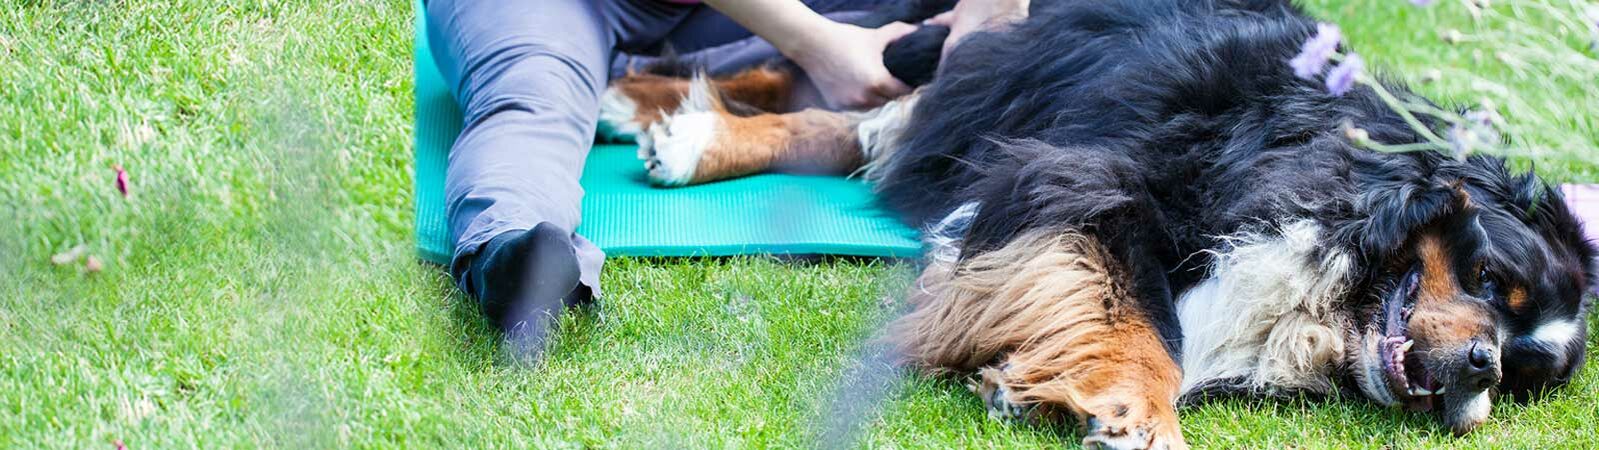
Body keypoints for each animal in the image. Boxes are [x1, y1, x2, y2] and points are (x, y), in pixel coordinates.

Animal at [594, 0, 1592, 445]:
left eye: (1525, 371)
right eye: (1490, 279)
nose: (1482, 365)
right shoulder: (1086, 179)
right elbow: (1135, 312)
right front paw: (1135, 411)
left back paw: (651, 110)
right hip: (968, 49)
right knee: (854, 99)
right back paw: (677, 127)